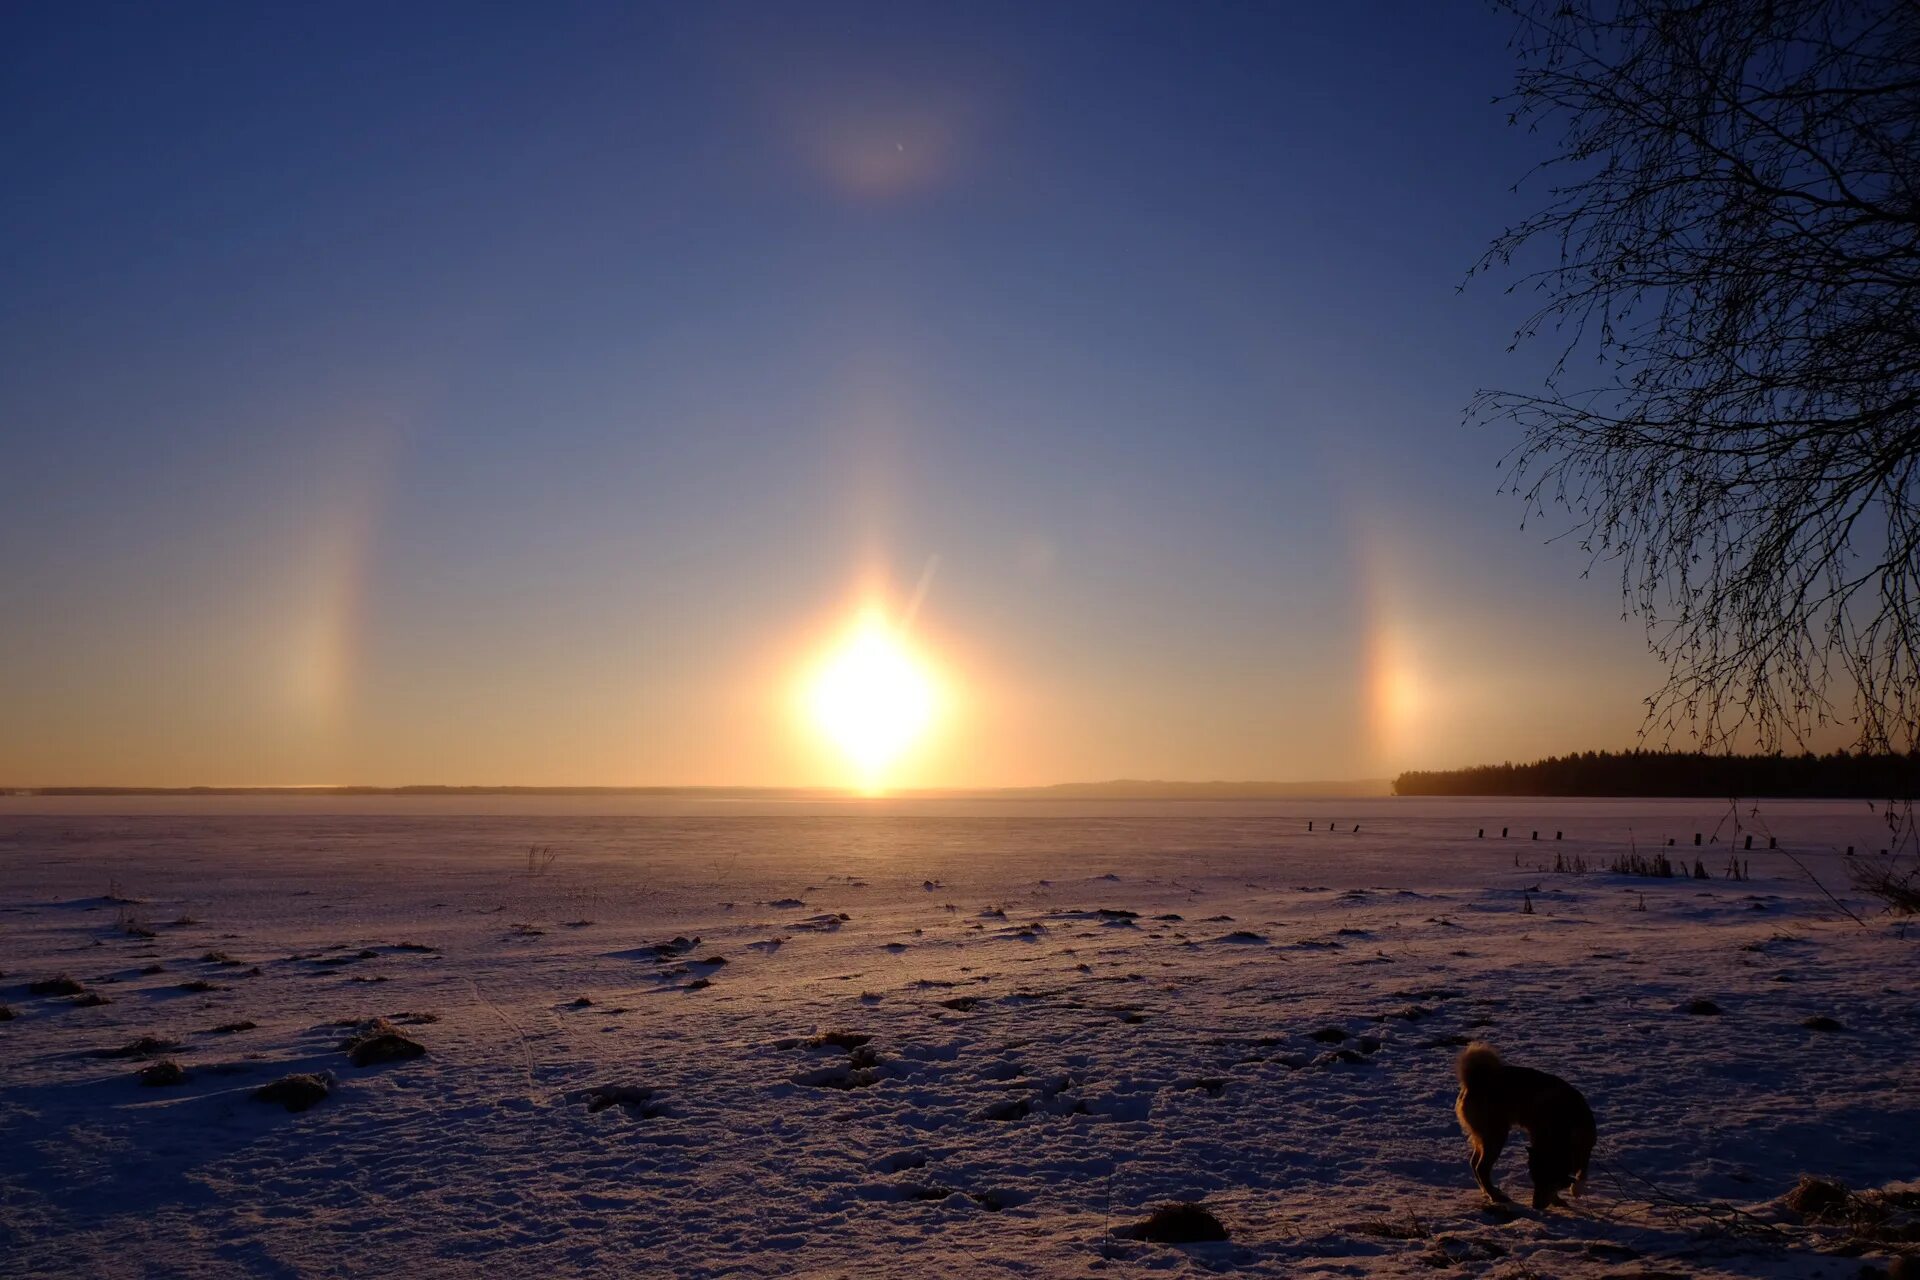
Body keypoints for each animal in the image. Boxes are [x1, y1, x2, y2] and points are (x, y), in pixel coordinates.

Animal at [1451, 1043, 1589, 1212]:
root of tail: (1476, 1080)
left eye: (1546, 1183)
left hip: (1484, 1135)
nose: (1535, 1206)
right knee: (1481, 1167)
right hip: (1496, 1134)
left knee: (1474, 1162)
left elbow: (1582, 1170)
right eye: (1535, 1181)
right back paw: (1496, 1196)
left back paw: (1489, 1191)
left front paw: (1573, 1190)